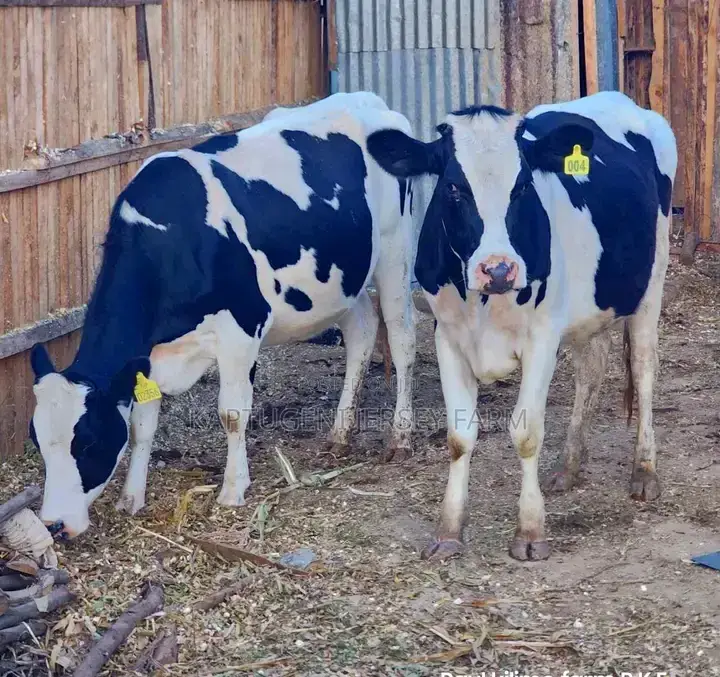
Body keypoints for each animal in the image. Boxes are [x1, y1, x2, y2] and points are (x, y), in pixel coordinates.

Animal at [28, 92, 417, 539]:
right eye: (37, 441)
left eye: (88, 442)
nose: (54, 525)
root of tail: (367, 100)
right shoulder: (148, 355)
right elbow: (142, 424)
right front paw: (131, 497)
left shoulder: (241, 329)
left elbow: (231, 414)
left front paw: (233, 490)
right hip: (342, 278)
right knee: (362, 333)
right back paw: (339, 433)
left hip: (395, 251)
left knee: (403, 339)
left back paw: (400, 437)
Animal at [367, 91, 677, 561]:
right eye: (453, 187)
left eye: (523, 186)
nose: (498, 269)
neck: (485, 303)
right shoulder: (447, 336)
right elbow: (460, 436)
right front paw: (448, 531)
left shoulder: (541, 338)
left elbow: (527, 432)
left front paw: (530, 532)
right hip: (589, 309)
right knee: (592, 370)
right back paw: (568, 466)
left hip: (650, 284)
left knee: (642, 369)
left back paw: (644, 472)